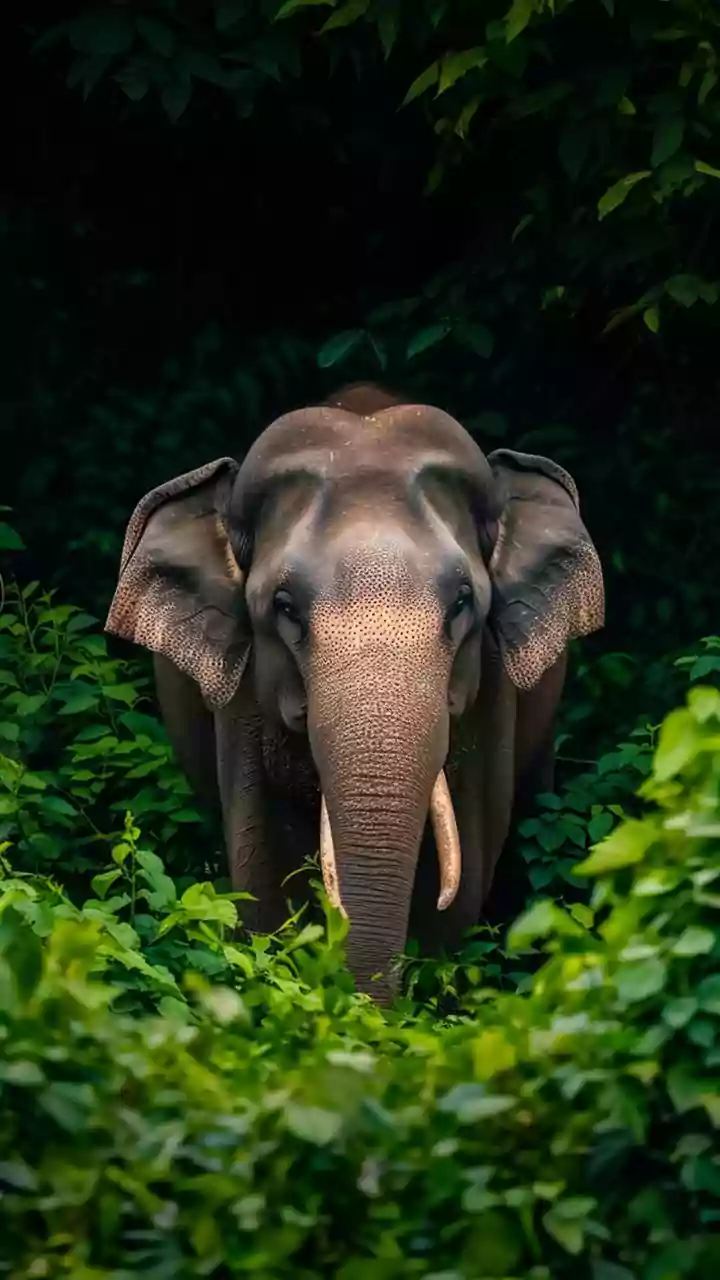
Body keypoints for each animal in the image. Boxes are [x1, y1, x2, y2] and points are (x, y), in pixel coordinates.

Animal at [105, 382, 604, 1002]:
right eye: (284, 608)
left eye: (463, 602)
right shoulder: (244, 698)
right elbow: (259, 870)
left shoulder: (490, 691)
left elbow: (466, 869)